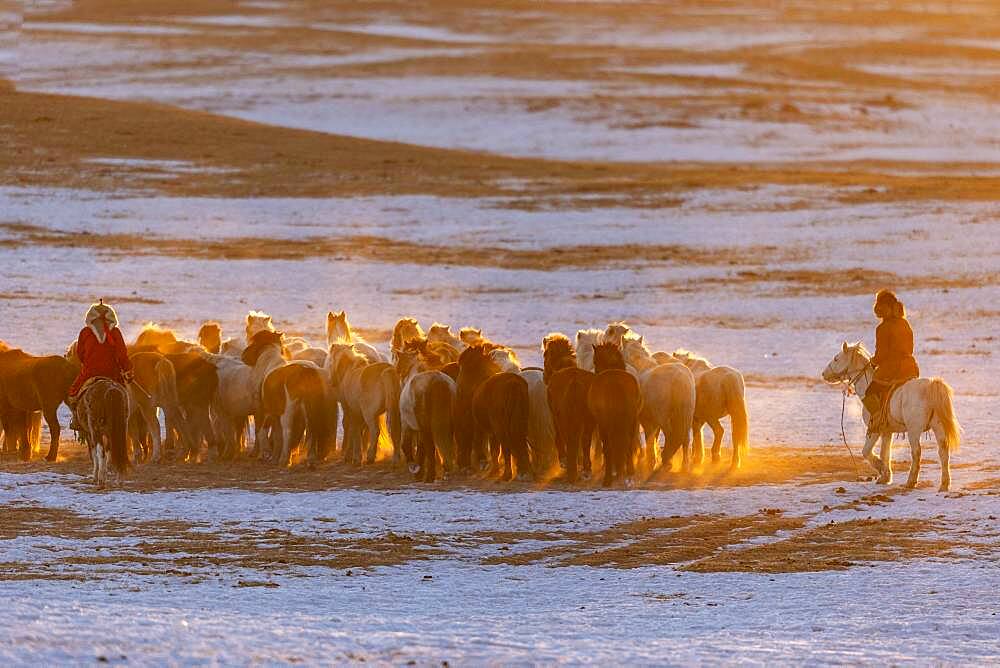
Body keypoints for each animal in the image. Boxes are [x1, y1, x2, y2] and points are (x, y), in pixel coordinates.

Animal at [584, 344, 640, 486]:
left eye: (595, 361)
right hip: (632, 422)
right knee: (629, 444)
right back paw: (629, 471)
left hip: (605, 424)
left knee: (608, 447)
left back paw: (608, 477)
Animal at [820, 344, 960, 490]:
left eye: (836, 358)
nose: (824, 374)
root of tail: (931, 384)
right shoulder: (887, 432)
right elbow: (885, 452)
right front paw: (885, 477)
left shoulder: (874, 430)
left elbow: (866, 452)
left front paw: (881, 468)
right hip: (938, 427)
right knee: (943, 452)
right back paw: (944, 484)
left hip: (914, 430)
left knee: (917, 452)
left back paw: (911, 481)